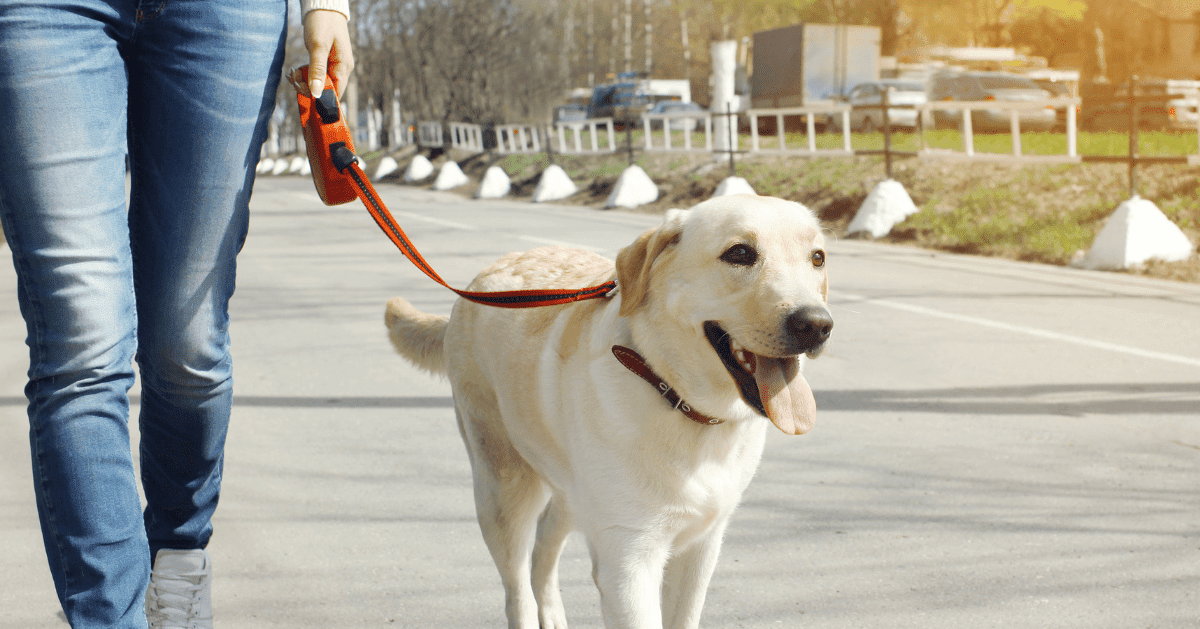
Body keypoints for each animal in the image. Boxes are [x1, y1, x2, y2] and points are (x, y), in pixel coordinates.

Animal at [386, 194, 835, 624]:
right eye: (739, 253)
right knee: (517, 592)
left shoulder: (700, 549)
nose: (816, 324)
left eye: (817, 258)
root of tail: (478, 282)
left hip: (572, 489)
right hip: (503, 488)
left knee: (544, 545)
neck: (675, 396)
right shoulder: (628, 559)